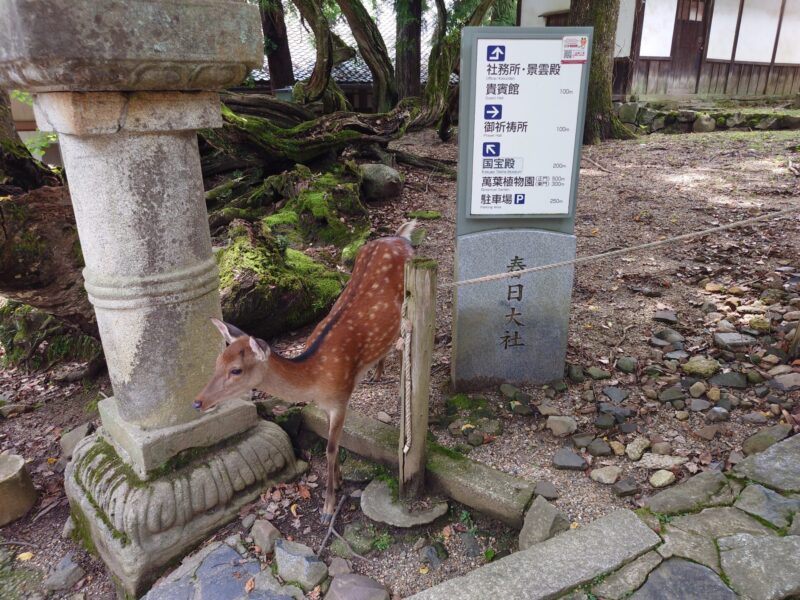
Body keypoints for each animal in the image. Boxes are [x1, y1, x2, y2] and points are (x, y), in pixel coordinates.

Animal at [196, 220, 416, 520]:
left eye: (236, 370)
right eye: (218, 361)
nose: (198, 402)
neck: (315, 375)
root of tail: (401, 236)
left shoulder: (341, 397)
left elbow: (331, 448)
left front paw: (328, 507)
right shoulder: (325, 403)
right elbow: (333, 444)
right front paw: (339, 481)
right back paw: (377, 373)